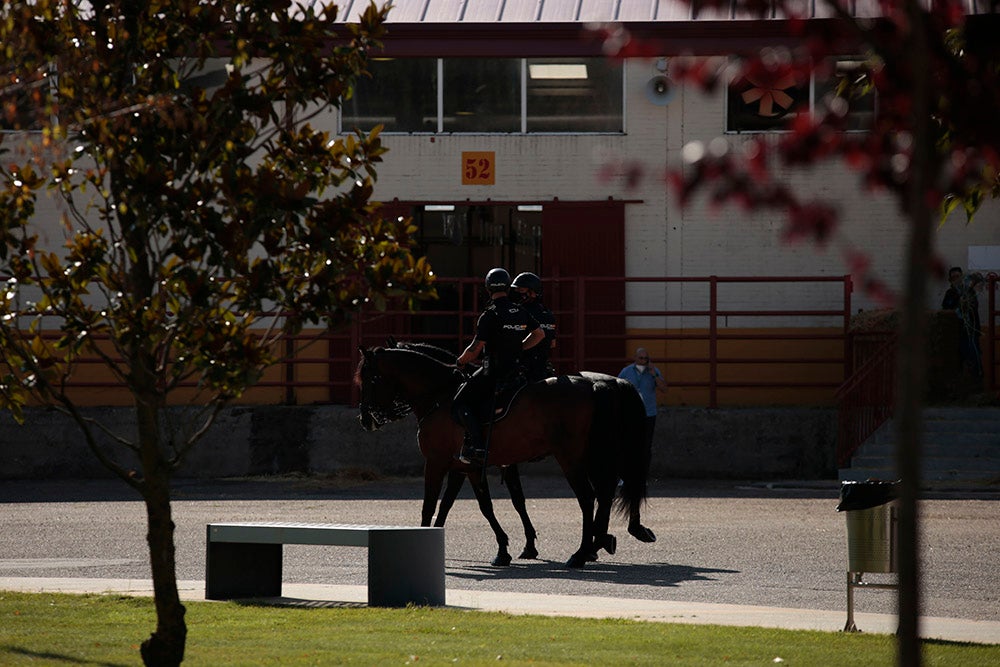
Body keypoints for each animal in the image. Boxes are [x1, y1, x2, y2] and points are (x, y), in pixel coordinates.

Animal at [356, 344, 652, 568]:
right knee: (606, 492)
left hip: (572, 458)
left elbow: (437, 505)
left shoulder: (439, 463)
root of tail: (595, 385)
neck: (440, 395)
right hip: (596, 455)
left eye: (369, 379)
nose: (365, 420)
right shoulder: (464, 467)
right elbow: (466, 505)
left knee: (589, 497)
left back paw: (581, 553)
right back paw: (601, 541)